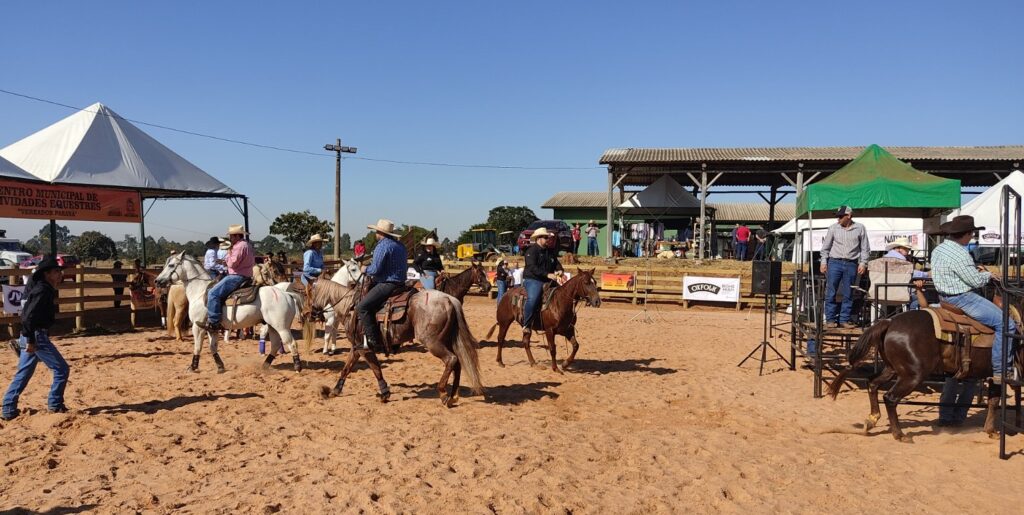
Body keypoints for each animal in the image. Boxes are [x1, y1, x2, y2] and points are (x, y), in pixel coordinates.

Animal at [151, 251, 303, 372]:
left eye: (171, 265)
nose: (157, 281)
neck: (200, 292)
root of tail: (286, 293)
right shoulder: (211, 328)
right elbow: (213, 347)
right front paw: (220, 366)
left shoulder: (197, 327)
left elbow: (198, 347)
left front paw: (193, 367)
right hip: (272, 326)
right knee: (276, 345)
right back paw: (264, 365)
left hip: (281, 327)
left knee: (291, 343)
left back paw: (297, 367)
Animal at [303, 280, 483, 409]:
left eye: (308, 294)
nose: (305, 314)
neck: (350, 308)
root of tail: (449, 299)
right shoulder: (356, 347)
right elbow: (346, 369)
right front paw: (334, 390)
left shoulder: (364, 349)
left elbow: (376, 369)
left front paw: (384, 394)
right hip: (446, 340)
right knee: (458, 362)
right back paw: (453, 395)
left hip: (432, 342)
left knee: (451, 360)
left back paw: (444, 394)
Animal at [823, 286, 1024, 444]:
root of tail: (890, 321)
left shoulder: (994, 376)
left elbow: (994, 401)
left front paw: (991, 431)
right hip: (913, 375)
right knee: (890, 397)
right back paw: (900, 435)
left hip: (893, 369)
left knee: (872, 383)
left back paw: (872, 420)